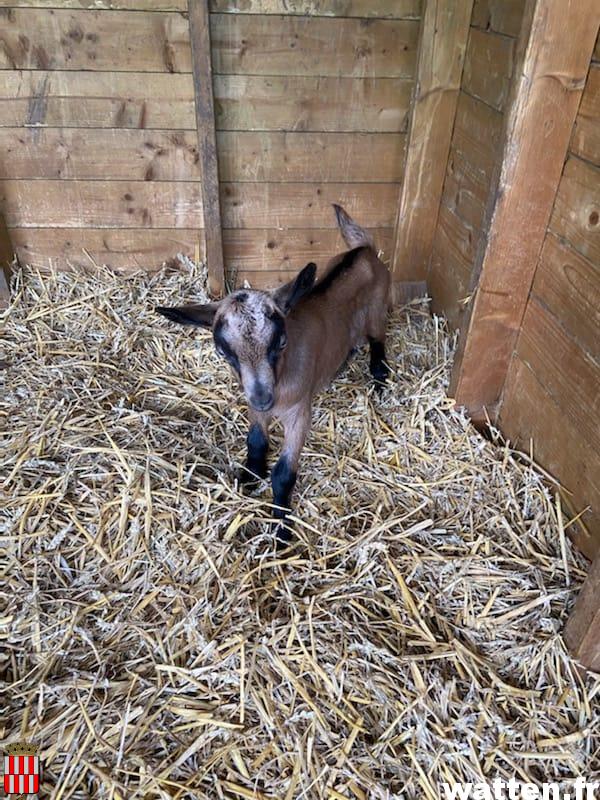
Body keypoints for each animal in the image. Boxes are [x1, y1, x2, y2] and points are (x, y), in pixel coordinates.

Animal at [155, 203, 390, 548]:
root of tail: (363, 250)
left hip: (377, 310)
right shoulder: (254, 403)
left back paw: (380, 376)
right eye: (223, 352)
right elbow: (255, 441)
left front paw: (281, 529)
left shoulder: (299, 412)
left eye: (280, 342)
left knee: (377, 340)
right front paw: (248, 478)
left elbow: (283, 473)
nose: (265, 398)